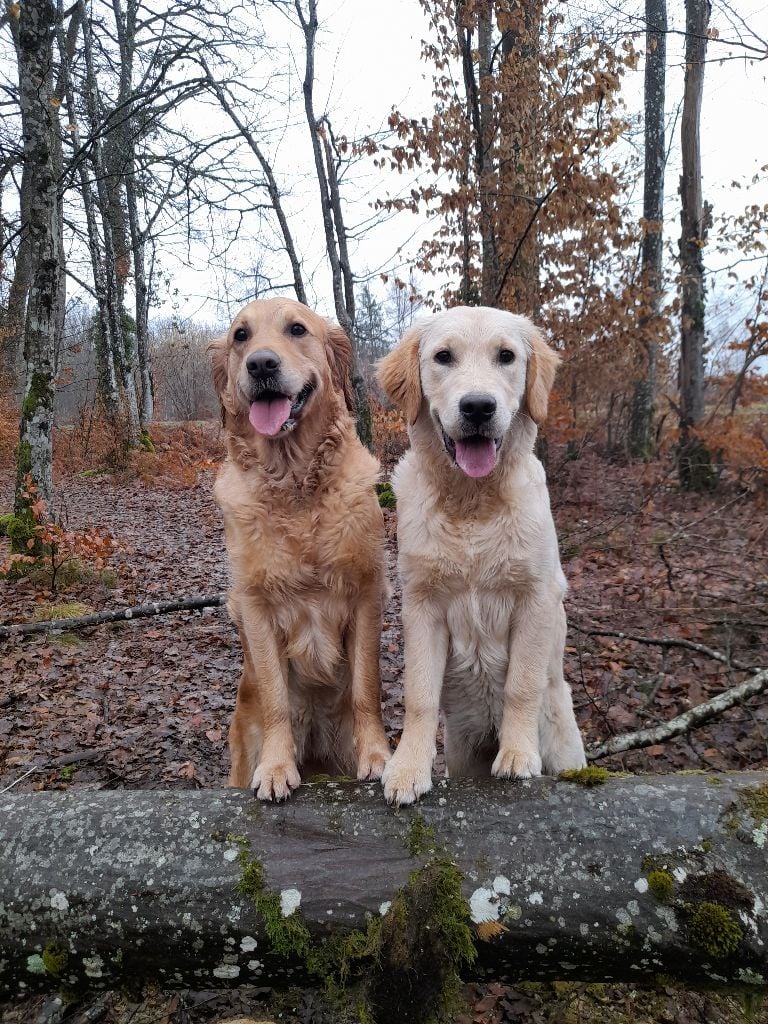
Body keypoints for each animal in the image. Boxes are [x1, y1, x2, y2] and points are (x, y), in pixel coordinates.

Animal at [210, 296, 391, 798]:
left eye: (296, 329)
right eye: (241, 336)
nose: (261, 364)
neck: (294, 486)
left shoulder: (366, 592)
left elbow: (366, 687)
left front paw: (377, 756)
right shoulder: (255, 605)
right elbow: (275, 696)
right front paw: (276, 767)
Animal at [378, 307, 589, 802]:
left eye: (506, 356)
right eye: (443, 356)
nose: (478, 407)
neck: (472, 503)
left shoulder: (535, 599)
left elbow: (522, 685)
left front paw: (517, 755)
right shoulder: (422, 605)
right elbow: (418, 693)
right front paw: (408, 768)